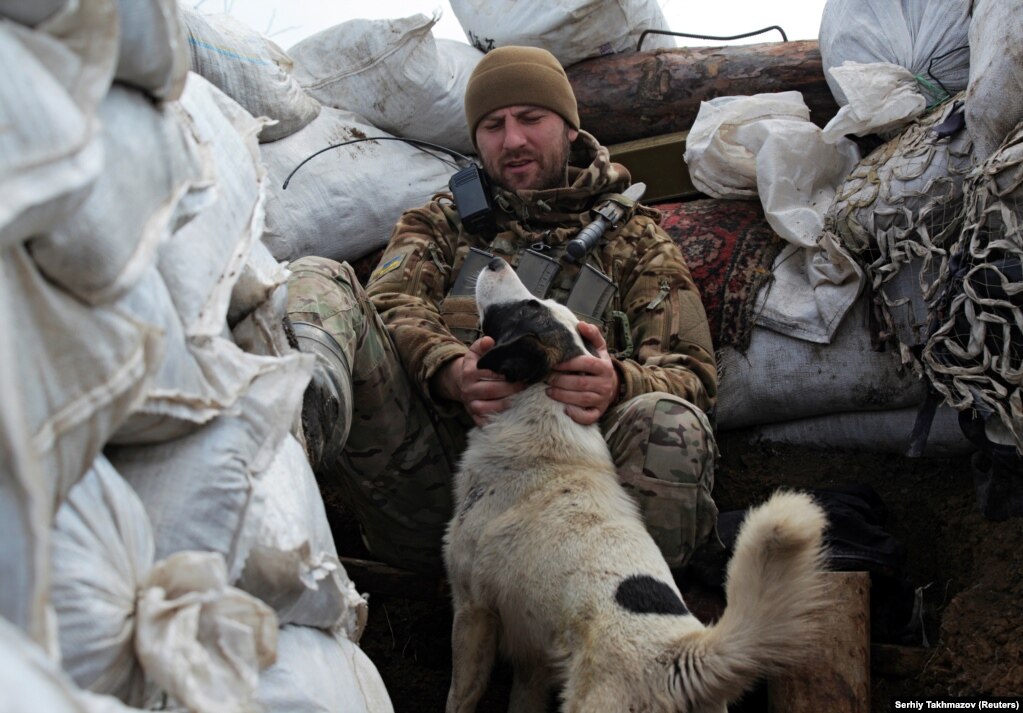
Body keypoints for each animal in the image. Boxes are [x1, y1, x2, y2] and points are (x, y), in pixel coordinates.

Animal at [443, 256, 826, 711]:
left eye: (527, 307)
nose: (495, 260)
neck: (543, 412)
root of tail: (678, 660)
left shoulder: (472, 608)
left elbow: (460, 695)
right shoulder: (533, 655)